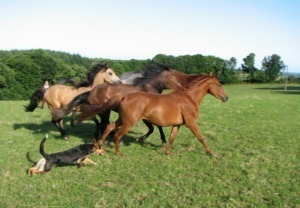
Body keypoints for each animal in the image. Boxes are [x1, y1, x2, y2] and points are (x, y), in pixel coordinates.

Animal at [52, 63, 205, 145]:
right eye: (176, 76)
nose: (185, 88)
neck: (148, 88)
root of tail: (91, 91)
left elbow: (155, 127)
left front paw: (143, 138)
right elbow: (156, 127)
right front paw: (159, 141)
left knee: (103, 124)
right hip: (104, 111)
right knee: (104, 124)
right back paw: (108, 140)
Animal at [78, 73, 229, 156]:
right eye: (219, 85)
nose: (226, 98)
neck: (189, 98)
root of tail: (123, 97)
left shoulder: (177, 125)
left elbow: (171, 138)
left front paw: (167, 152)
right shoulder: (191, 123)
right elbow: (201, 138)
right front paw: (212, 153)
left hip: (122, 119)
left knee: (109, 127)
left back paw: (100, 145)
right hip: (129, 122)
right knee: (116, 134)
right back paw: (118, 152)